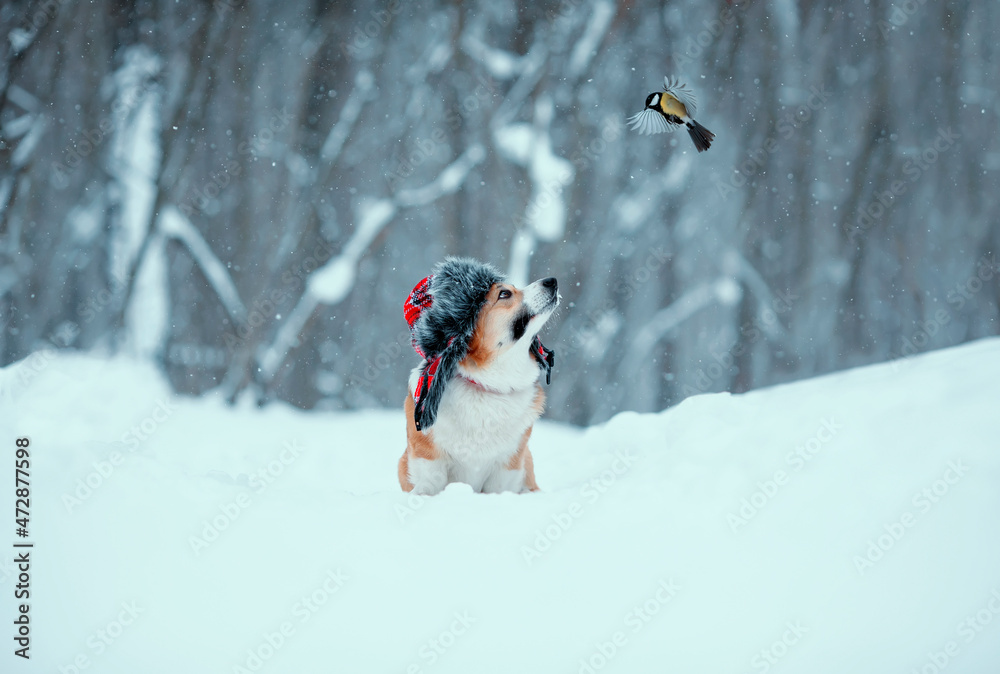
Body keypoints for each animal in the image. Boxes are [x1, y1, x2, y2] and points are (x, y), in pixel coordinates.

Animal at [394, 258, 560, 494]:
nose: (551, 281)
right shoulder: (427, 456)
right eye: (504, 293)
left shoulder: (508, 464)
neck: (489, 384)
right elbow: (430, 482)